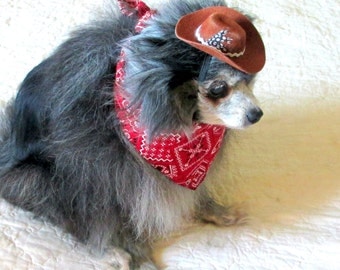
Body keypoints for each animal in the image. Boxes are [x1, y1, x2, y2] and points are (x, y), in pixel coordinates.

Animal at [0, 0, 266, 266]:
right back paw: (109, 249)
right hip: (37, 178)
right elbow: (118, 217)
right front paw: (136, 255)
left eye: (249, 81)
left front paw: (214, 210)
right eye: (218, 88)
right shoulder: (105, 175)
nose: (256, 114)